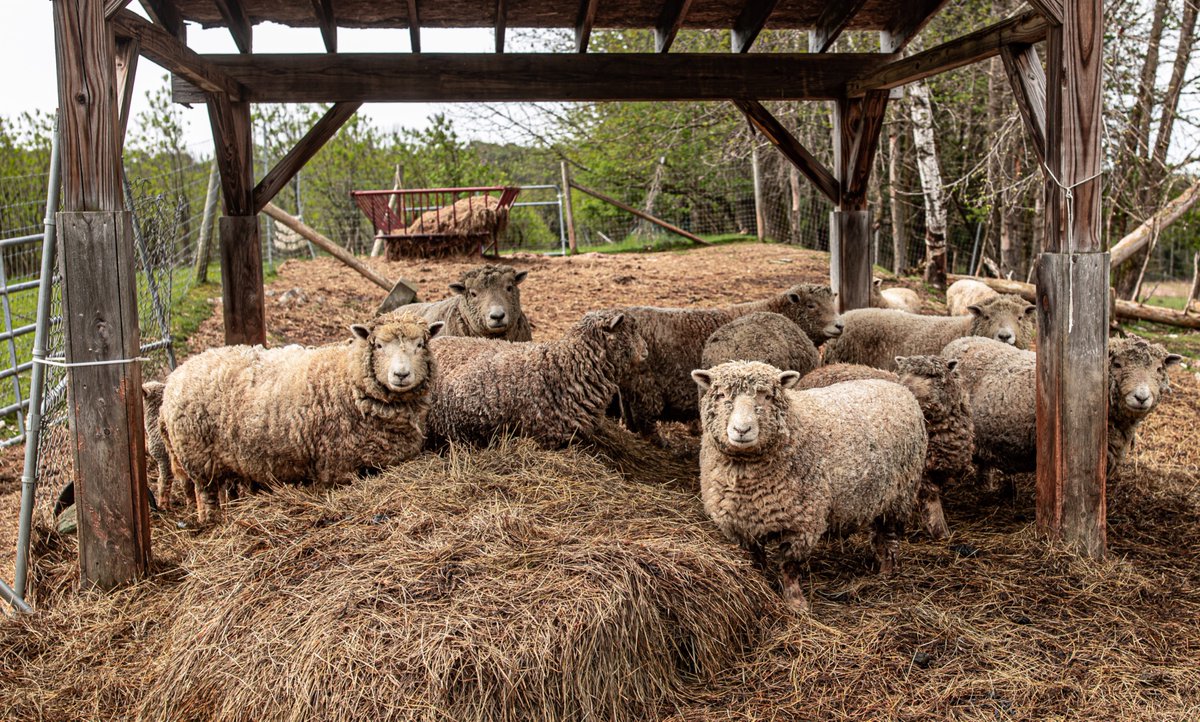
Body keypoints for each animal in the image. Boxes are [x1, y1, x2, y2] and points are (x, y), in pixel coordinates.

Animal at [160, 314, 443, 523]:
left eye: (420, 345)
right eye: (379, 346)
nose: (401, 375)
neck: (349, 379)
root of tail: (175, 377)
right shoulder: (335, 467)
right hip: (198, 458)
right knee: (205, 494)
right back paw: (211, 521)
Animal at [692, 361, 927, 611]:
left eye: (767, 396)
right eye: (721, 395)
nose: (742, 430)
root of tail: (896, 385)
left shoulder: (803, 522)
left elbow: (789, 566)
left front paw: (796, 603)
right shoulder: (740, 525)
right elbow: (755, 560)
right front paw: (761, 584)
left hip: (901, 494)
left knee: (891, 537)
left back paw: (887, 573)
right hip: (878, 496)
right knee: (880, 535)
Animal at [797, 357, 975, 539]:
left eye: (932, 375)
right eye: (903, 373)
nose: (906, 387)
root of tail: (822, 369)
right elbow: (931, 499)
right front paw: (940, 530)